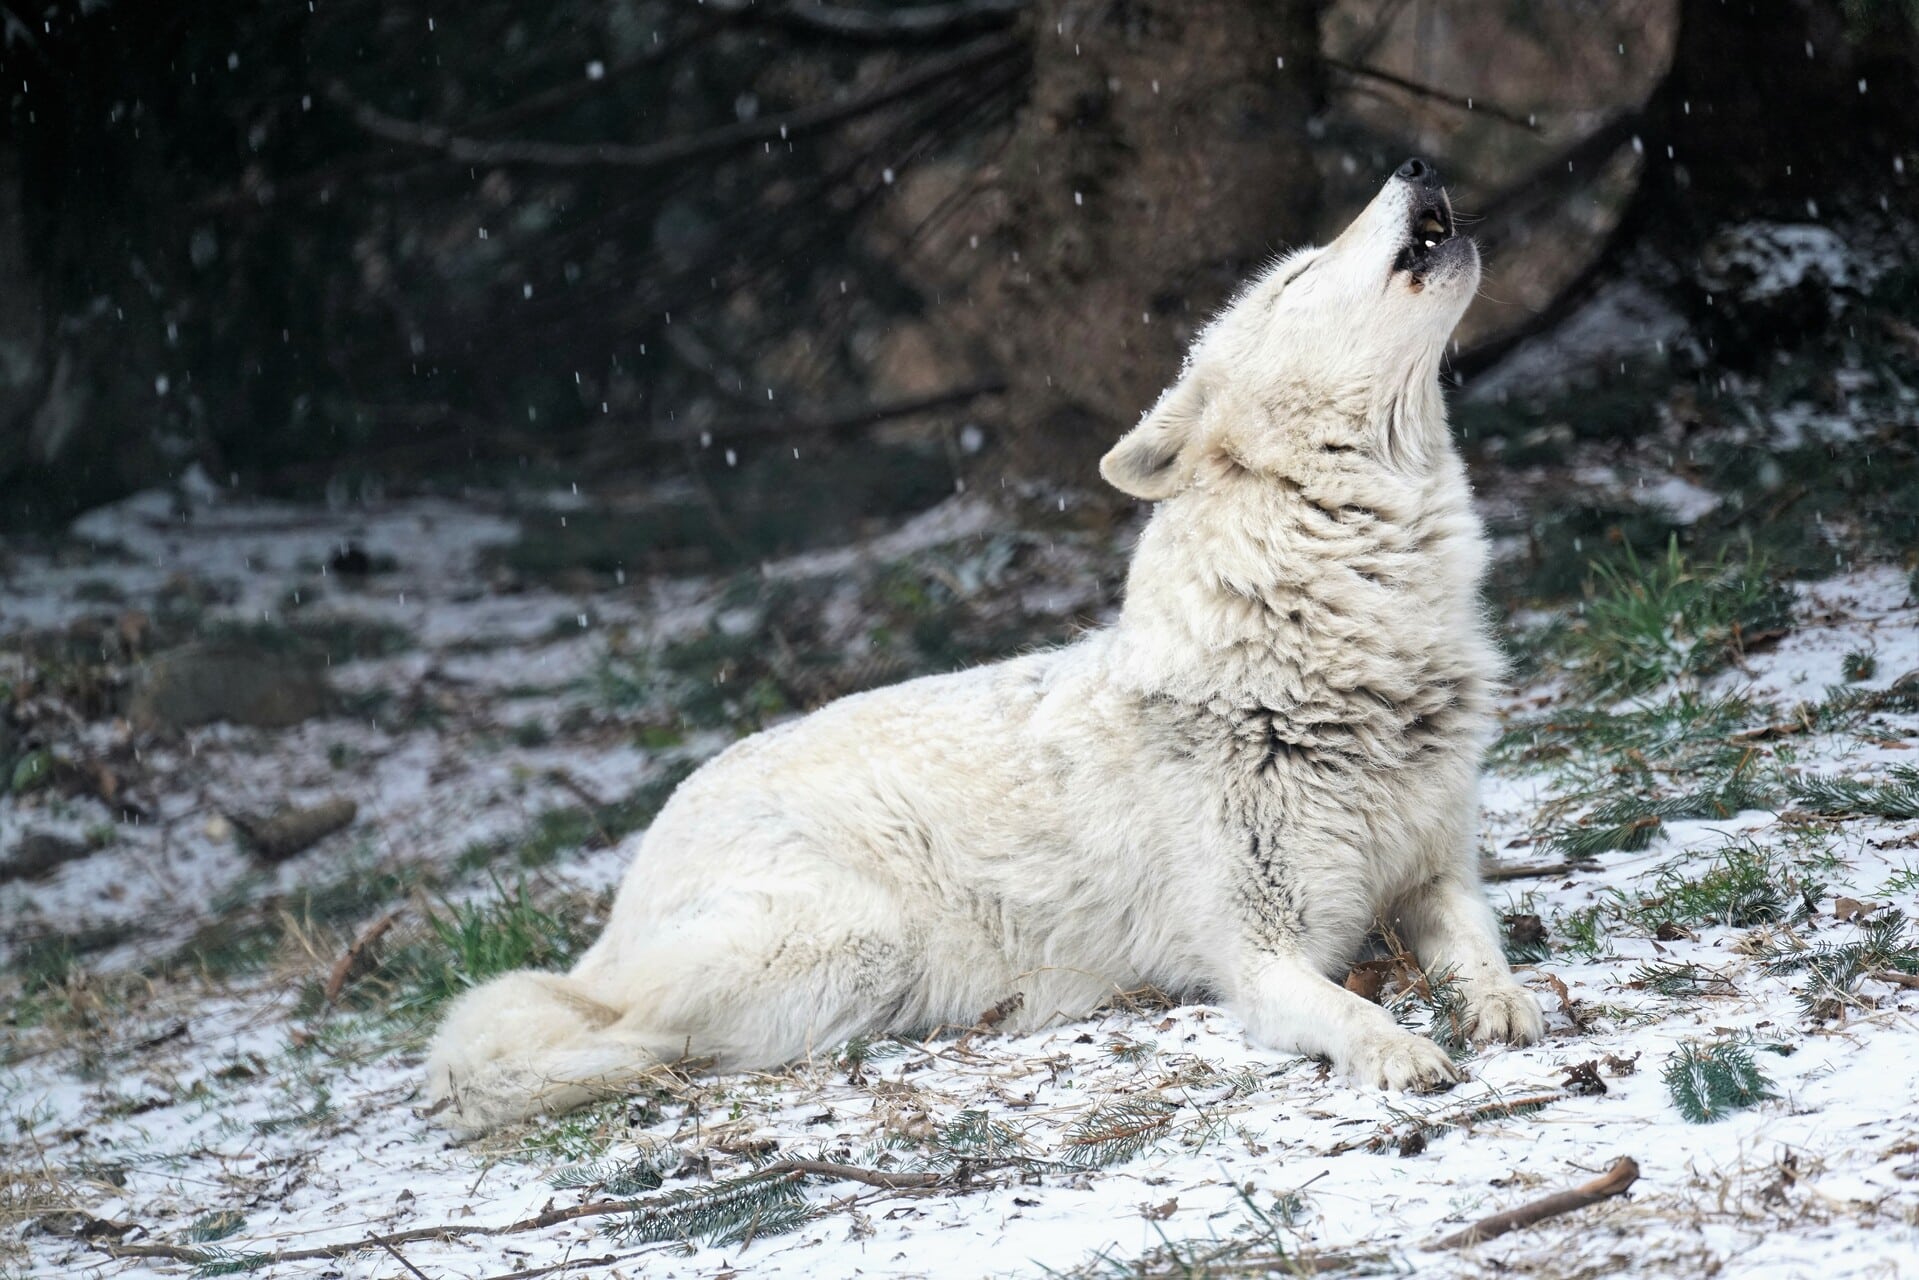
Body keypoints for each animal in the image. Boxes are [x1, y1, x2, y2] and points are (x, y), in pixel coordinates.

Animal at [427, 159, 1544, 1135]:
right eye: (1294, 278)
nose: (1413, 164)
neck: (1343, 648)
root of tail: (617, 904)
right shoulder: (1257, 956)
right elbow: (1347, 1007)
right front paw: (1401, 1050)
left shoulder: (1434, 875)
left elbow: (1478, 945)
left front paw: (1502, 1003)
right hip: (853, 941)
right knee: (631, 1038)